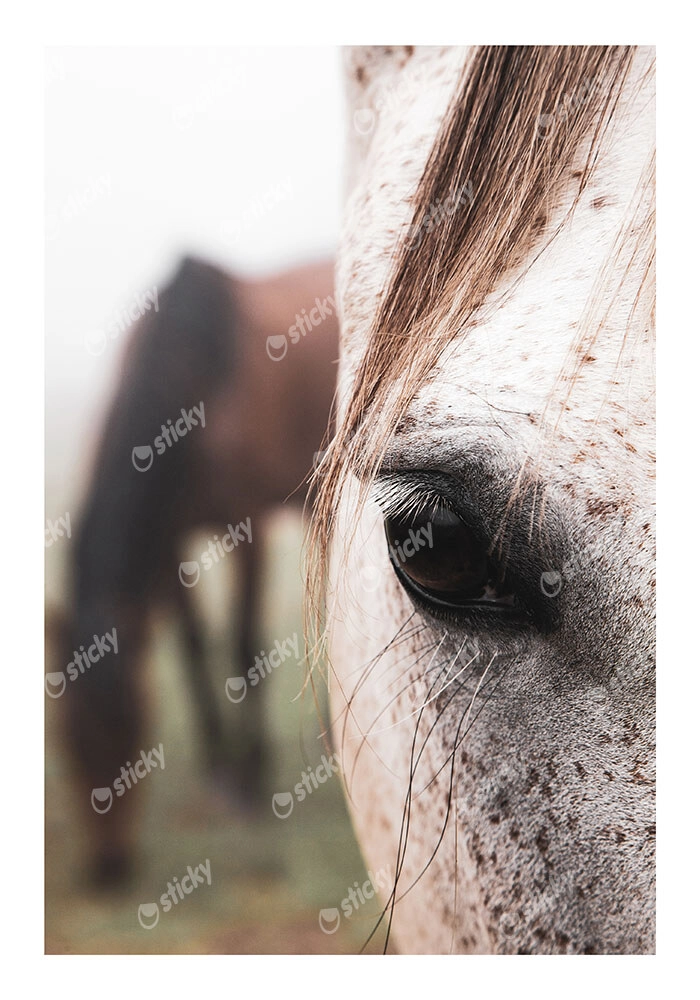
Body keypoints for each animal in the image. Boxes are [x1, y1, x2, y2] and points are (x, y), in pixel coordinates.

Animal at [55, 254, 338, 885]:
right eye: (67, 740)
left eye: (131, 727)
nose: (109, 869)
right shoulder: (169, 542)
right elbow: (191, 645)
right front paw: (218, 771)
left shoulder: (248, 525)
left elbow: (244, 644)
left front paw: (251, 781)